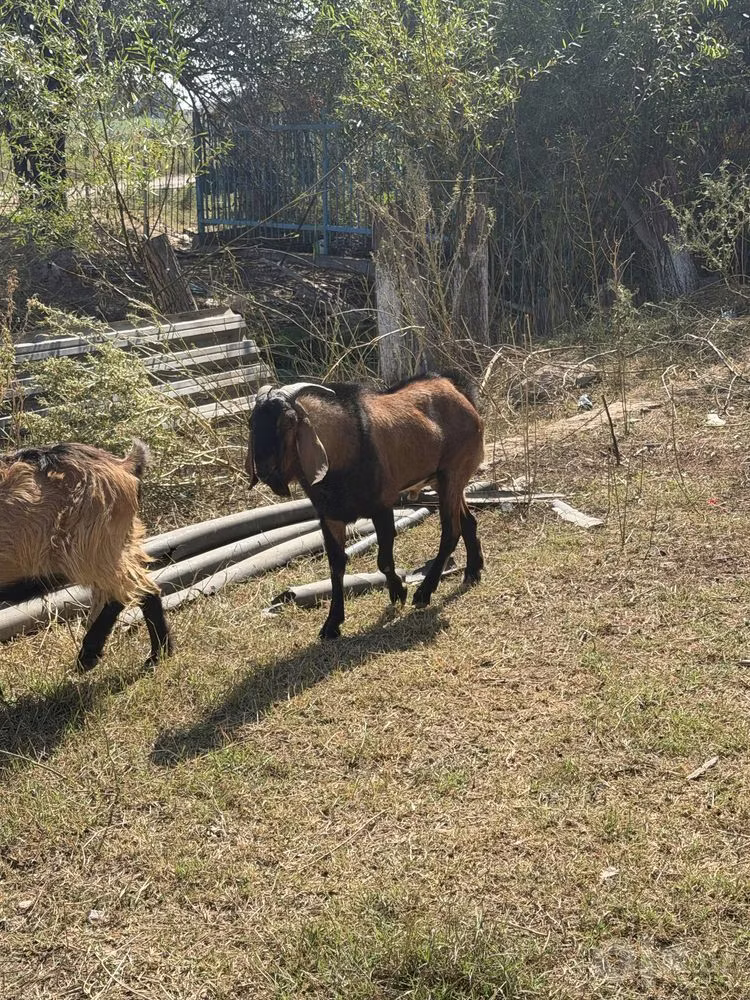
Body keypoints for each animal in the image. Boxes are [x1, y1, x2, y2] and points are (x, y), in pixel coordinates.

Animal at [0, 440, 172, 671]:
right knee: (144, 588)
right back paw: (160, 653)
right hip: (120, 543)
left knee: (130, 590)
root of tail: (124, 465)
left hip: (91, 546)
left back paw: (93, 656)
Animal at [246, 372, 485, 639]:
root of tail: (460, 393)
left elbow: (384, 560)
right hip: (446, 481)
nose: (265, 471)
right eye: (251, 423)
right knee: (468, 521)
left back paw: (424, 593)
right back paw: (472, 571)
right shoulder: (330, 516)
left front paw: (399, 592)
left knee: (451, 531)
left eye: (288, 421)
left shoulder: (382, 506)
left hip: (452, 472)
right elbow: (336, 566)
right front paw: (332, 624)